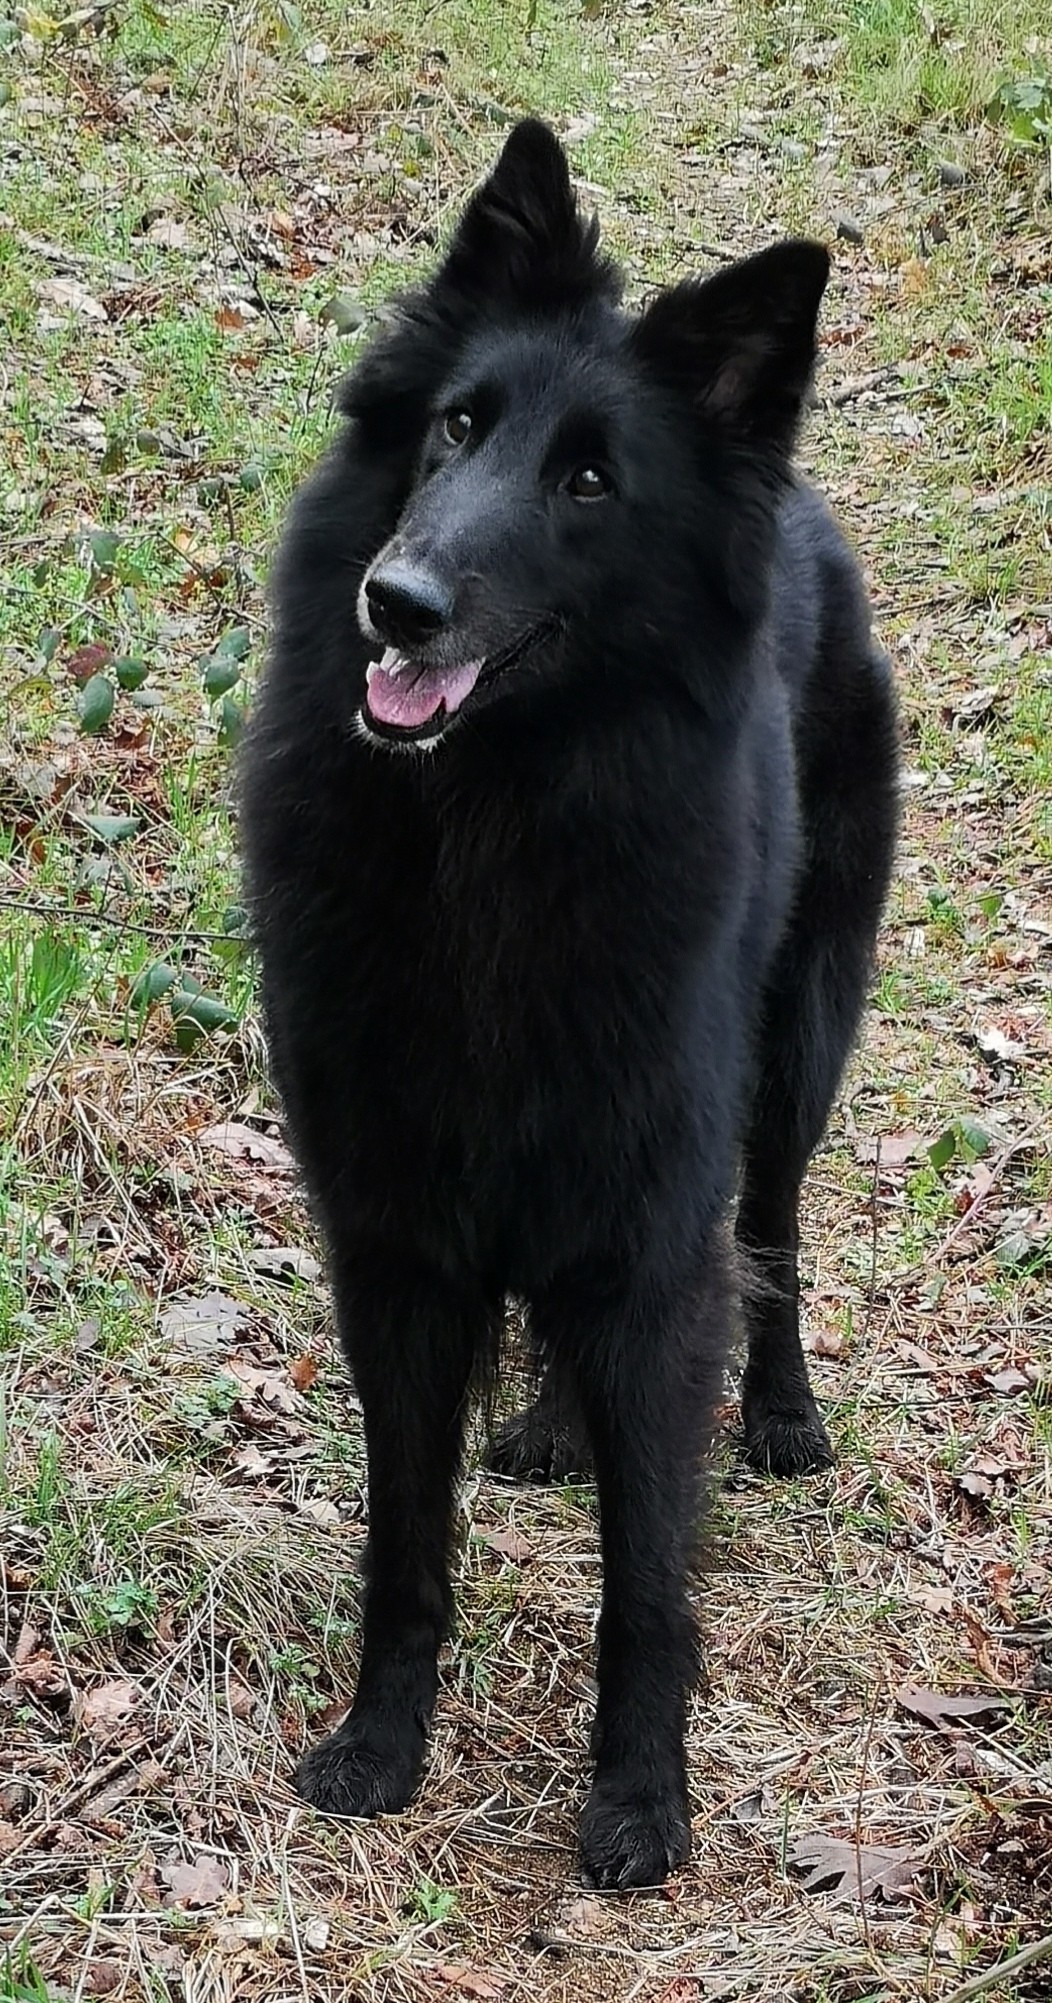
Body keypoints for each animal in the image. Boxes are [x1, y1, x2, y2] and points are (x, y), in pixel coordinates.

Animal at [240, 118, 899, 1889]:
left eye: (591, 483)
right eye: (459, 426)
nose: (395, 602)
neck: (493, 836)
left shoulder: (654, 1216)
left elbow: (647, 1569)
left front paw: (642, 1794)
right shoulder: (399, 1243)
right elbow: (407, 1532)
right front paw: (382, 1741)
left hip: (791, 1053)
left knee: (773, 1225)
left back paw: (783, 1411)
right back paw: (552, 1417)